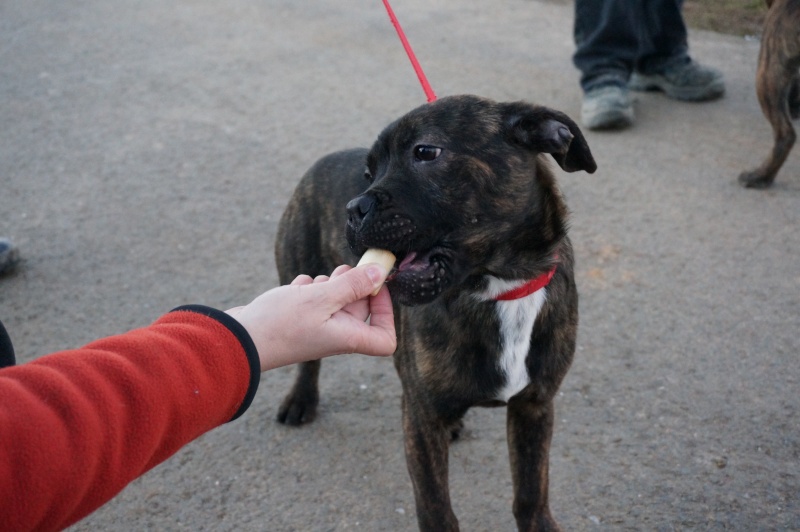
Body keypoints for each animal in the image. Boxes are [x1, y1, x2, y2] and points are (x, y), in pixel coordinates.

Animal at [276, 95, 592, 532]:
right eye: (369, 173)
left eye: (426, 152)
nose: (353, 209)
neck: (500, 286)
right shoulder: (421, 421)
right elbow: (436, 507)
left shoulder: (535, 407)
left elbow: (531, 495)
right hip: (299, 274)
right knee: (309, 357)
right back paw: (301, 399)